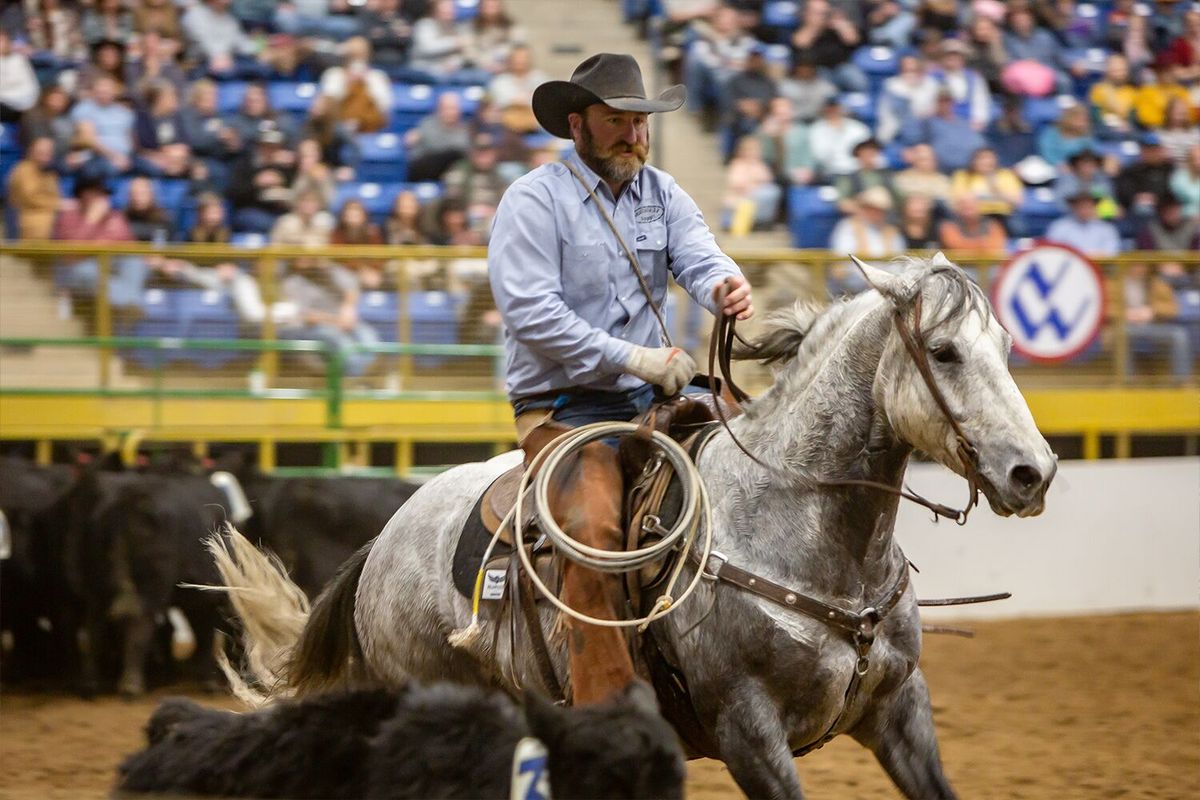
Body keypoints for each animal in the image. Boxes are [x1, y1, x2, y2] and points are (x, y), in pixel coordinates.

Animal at [220, 256, 1056, 800]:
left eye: (1007, 347)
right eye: (942, 351)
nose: (1033, 472)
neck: (803, 532)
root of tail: (383, 544)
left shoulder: (900, 711)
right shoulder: (748, 731)